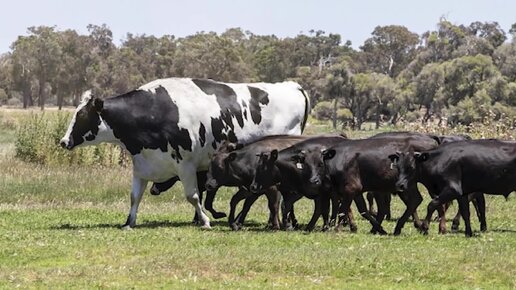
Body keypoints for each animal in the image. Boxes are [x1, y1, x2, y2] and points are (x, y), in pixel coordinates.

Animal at [60, 77, 310, 229]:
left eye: (82, 116)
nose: (64, 141)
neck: (154, 111)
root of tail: (292, 85)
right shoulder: (142, 165)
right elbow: (134, 197)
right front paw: (129, 222)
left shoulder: (187, 165)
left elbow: (193, 196)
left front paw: (206, 220)